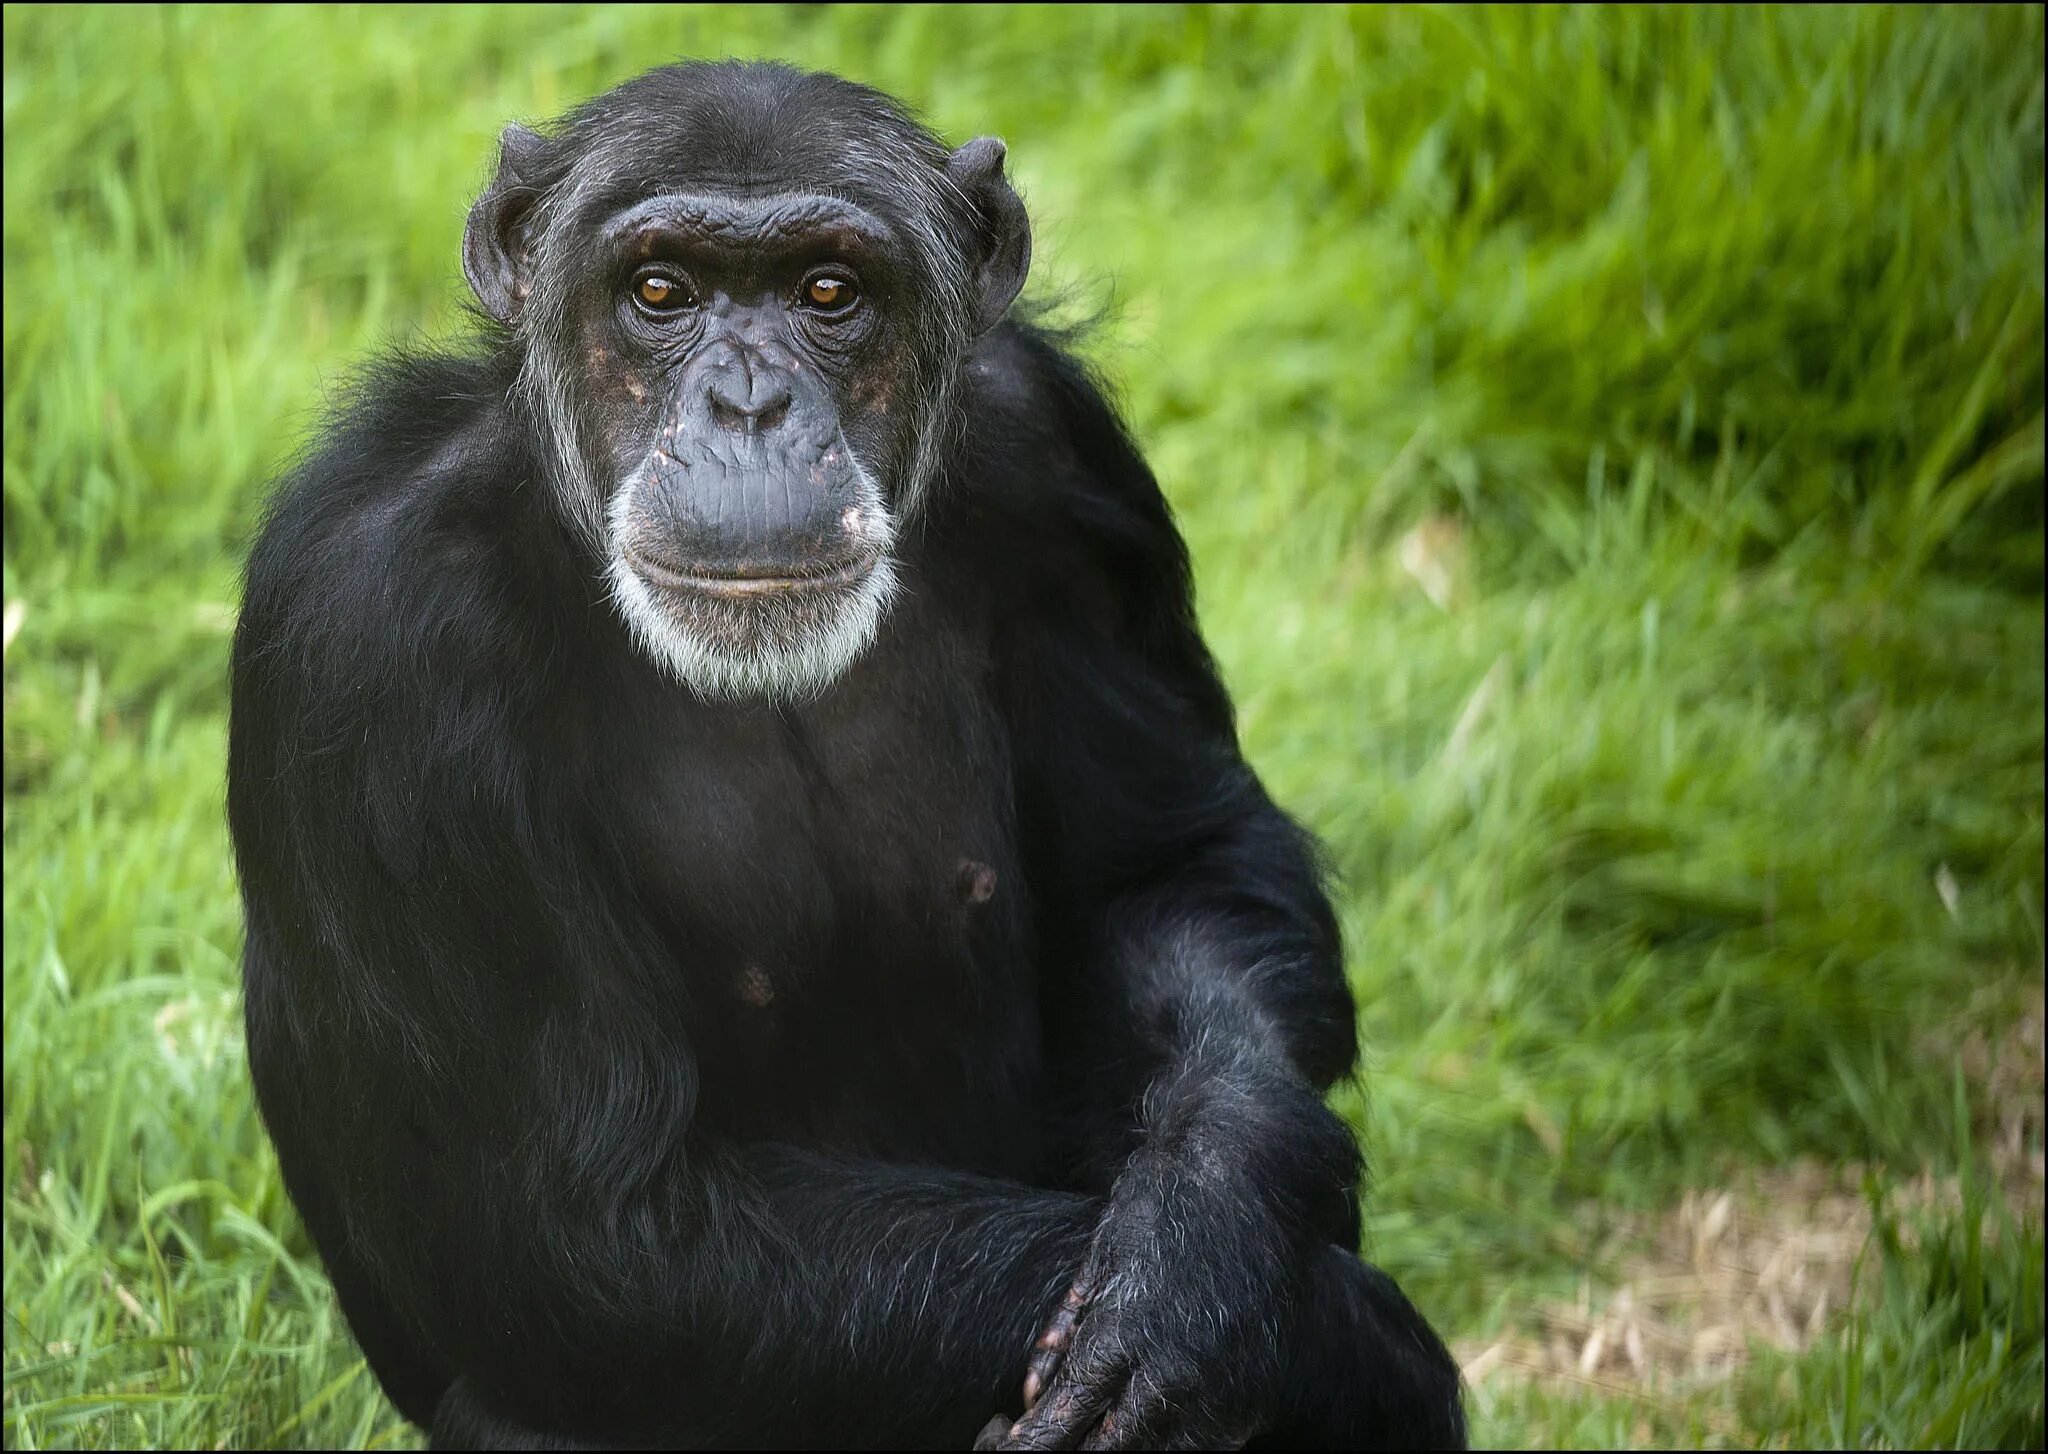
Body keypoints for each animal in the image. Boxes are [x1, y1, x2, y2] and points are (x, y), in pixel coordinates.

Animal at [228, 59, 1458, 1454]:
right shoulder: (374, 626)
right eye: (659, 290)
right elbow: (587, 1226)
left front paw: (1198, 1257)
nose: (749, 404)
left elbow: (1171, 864)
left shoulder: (1057, 454)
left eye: (829, 291)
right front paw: (1341, 1345)